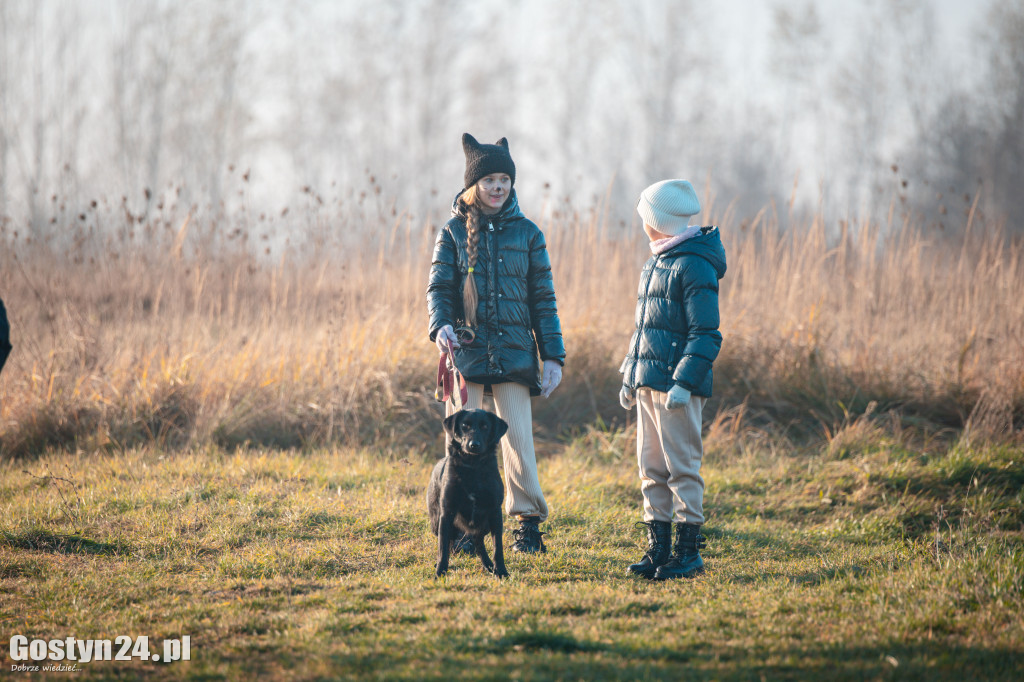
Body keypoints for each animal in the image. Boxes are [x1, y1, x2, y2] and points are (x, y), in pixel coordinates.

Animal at [430, 405, 509, 577]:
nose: (474, 445)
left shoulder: (495, 513)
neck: (473, 466)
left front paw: (501, 571)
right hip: (436, 522)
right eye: (464, 426)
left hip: (484, 525)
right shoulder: (446, 513)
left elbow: (498, 548)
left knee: (479, 543)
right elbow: (442, 548)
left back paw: (489, 566)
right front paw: (440, 572)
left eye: (485, 426)